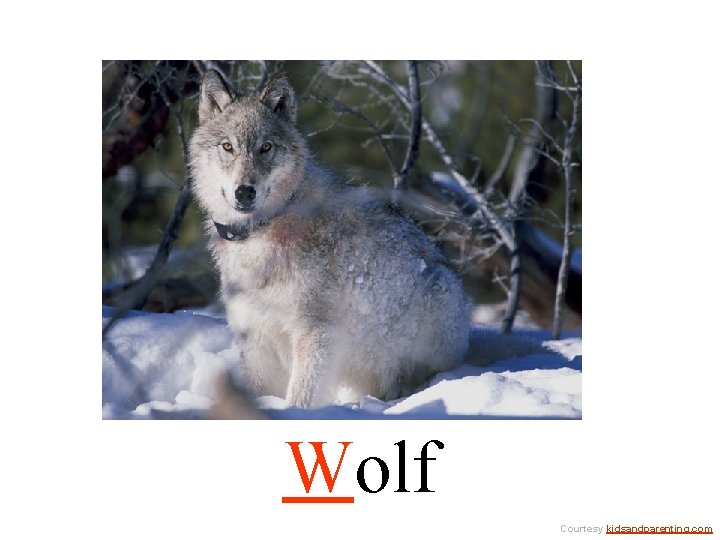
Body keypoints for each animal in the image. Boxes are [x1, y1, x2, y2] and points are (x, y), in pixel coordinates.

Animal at [189, 70, 470, 408]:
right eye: (228, 147)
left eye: (266, 147)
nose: (244, 192)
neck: (262, 231)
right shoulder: (255, 336)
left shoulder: (315, 333)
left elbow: (301, 398)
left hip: (437, 295)